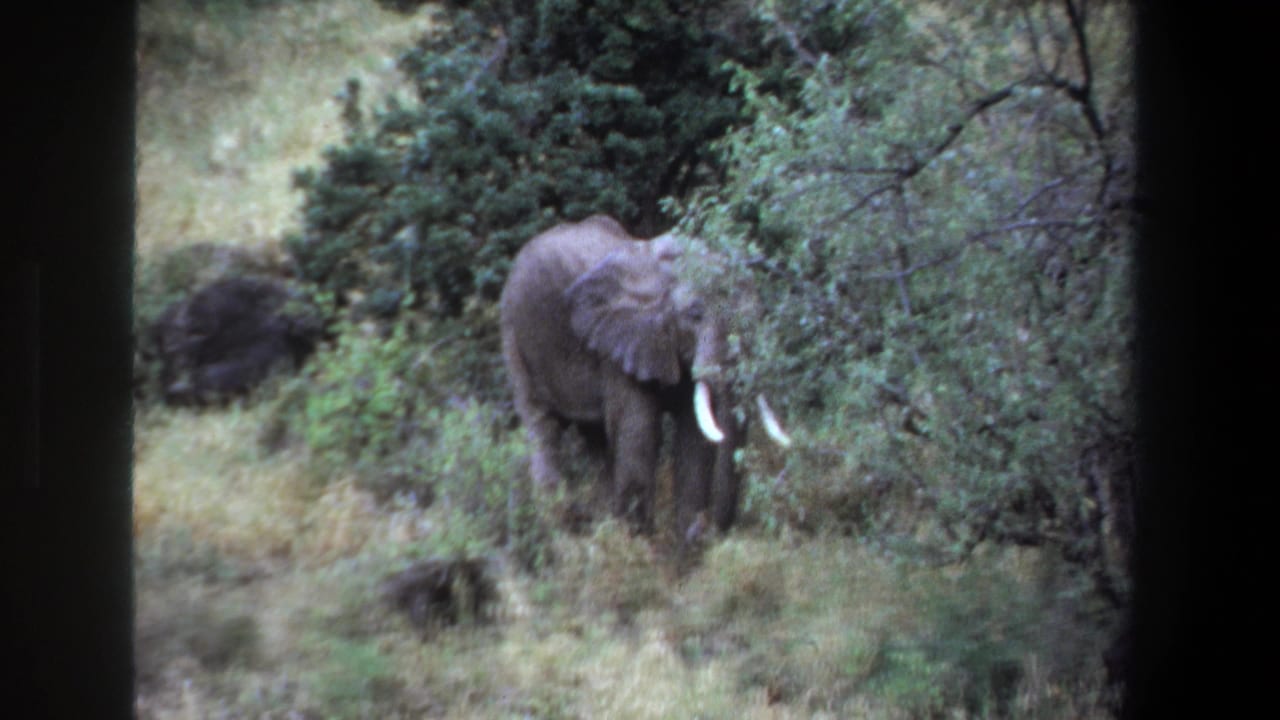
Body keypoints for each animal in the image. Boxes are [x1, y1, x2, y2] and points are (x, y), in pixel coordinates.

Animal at [500, 215, 791, 537]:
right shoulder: (618, 345)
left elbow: (693, 440)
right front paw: (638, 542)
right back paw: (558, 524)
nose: (704, 528)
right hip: (515, 336)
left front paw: (686, 543)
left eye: (759, 313)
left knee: (595, 439)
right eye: (695, 313)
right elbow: (639, 433)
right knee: (542, 425)